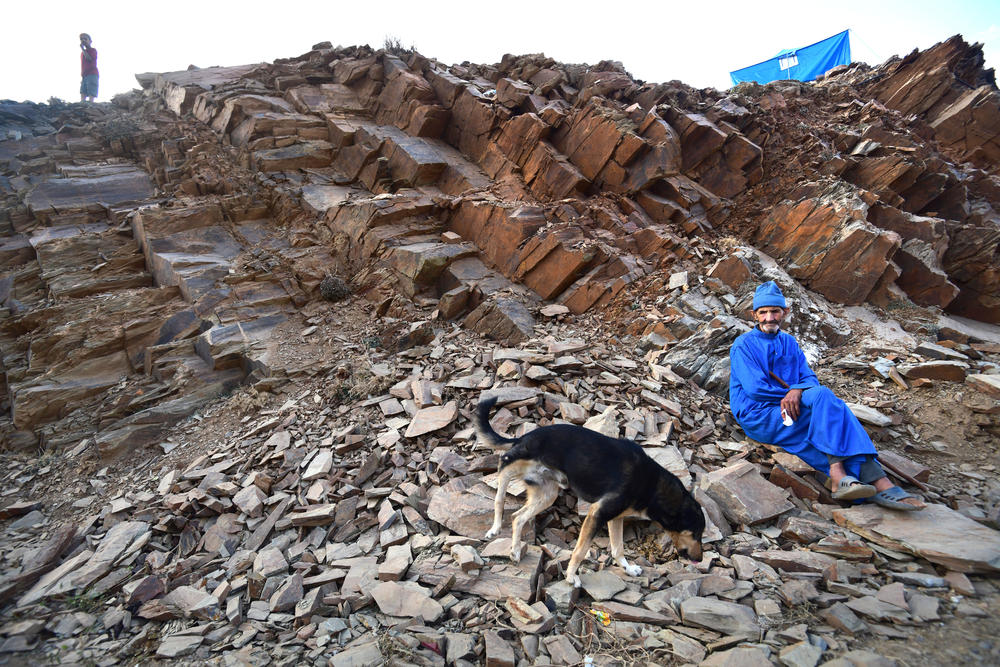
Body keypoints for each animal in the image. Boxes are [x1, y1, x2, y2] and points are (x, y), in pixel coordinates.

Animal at [474, 400, 704, 588]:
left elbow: (618, 548)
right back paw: (495, 525)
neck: (653, 486)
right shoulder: (597, 514)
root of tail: (524, 436)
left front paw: (629, 569)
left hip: (546, 494)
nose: (701, 559)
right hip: (519, 462)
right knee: (502, 473)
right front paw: (571, 576)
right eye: (697, 533)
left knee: (517, 517)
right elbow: (581, 550)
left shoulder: (615, 518)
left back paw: (514, 550)